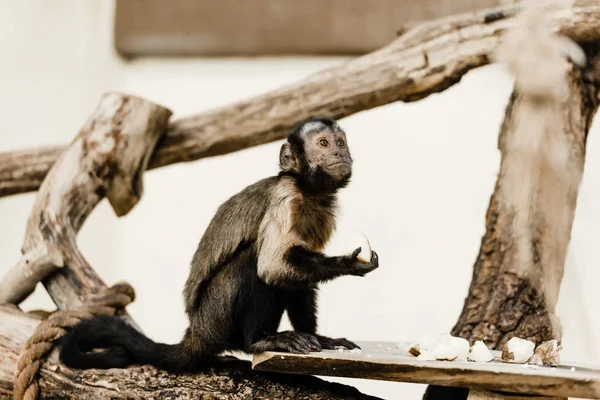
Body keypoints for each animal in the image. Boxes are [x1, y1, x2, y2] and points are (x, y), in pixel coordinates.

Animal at [59, 117, 380, 374]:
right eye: (323, 143)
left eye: (340, 142)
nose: (340, 152)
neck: (308, 190)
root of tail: (197, 333)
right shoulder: (285, 197)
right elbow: (273, 267)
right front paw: (348, 264)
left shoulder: (324, 211)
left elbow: (298, 278)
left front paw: (320, 337)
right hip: (216, 317)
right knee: (251, 264)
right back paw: (259, 341)